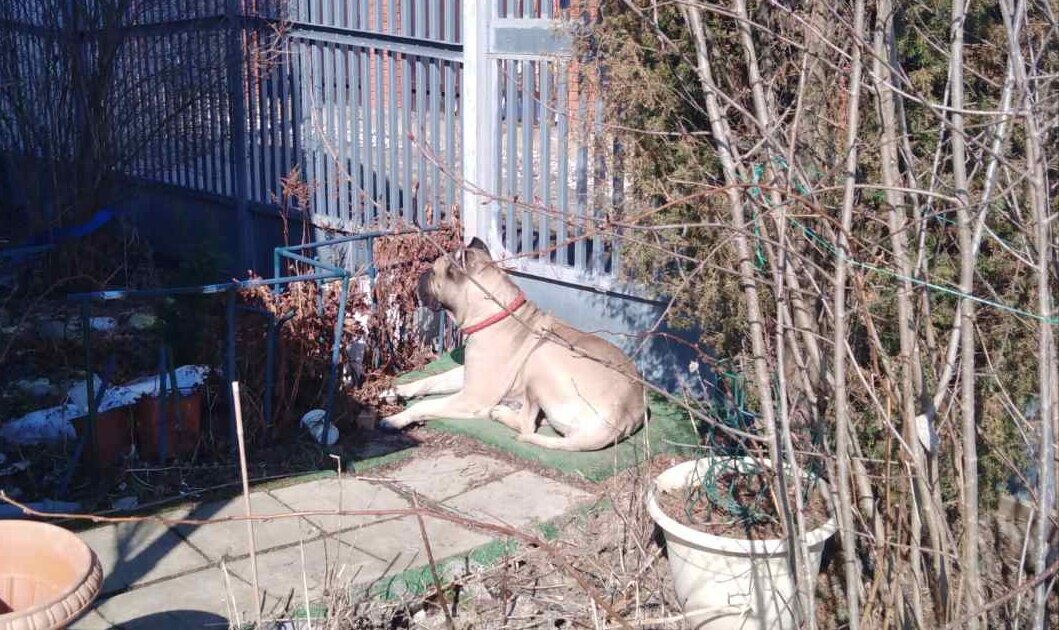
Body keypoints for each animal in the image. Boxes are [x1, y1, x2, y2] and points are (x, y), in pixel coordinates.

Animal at [381, 238, 643, 453]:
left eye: (433, 272)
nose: (420, 276)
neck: (495, 313)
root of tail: (622, 417)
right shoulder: (468, 377)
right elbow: (428, 381)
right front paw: (394, 390)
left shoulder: (472, 397)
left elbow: (424, 404)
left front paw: (395, 419)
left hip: (541, 359)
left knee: (526, 425)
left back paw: (501, 412)